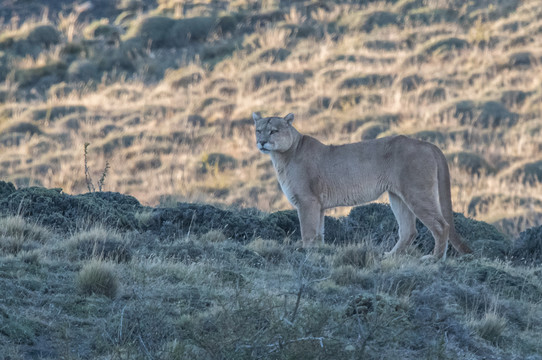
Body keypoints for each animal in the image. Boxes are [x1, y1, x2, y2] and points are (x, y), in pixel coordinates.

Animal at [254, 112, 472, 258]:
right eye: (258, 130)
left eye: (273, 131)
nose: (262, 142)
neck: (283, 156)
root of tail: (427, 144)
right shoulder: (318, 205)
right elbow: (318, 232)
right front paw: (319, 251)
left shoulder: (307, 202)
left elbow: (307, 231)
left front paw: (307, 253)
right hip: (397, 196)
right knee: (409, 230)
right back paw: (390, 256)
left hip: (417, 193)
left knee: (441, 225)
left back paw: (435, 258)